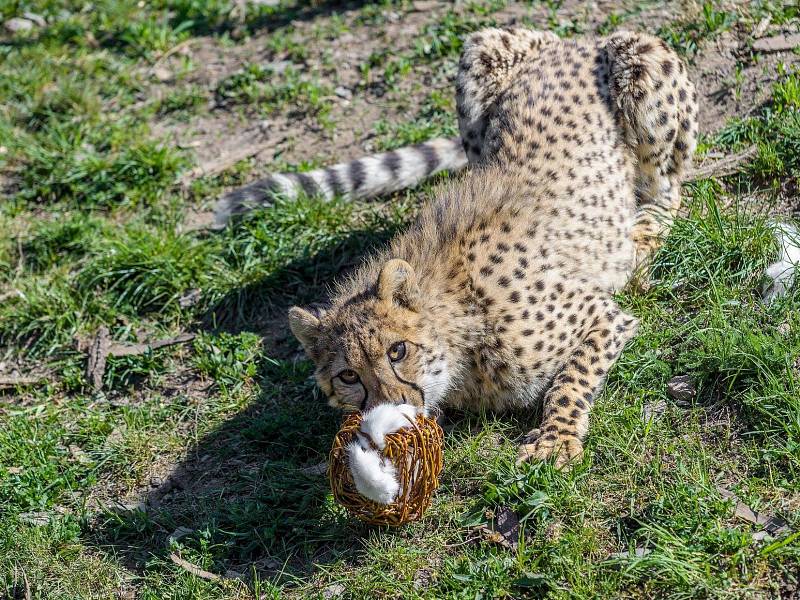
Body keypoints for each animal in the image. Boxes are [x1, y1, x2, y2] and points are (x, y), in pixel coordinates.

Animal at [266, 27, 696, 468]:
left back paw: (640, 238)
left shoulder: (601, 316)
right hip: (478, 54)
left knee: (668, 191)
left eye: (397, 350)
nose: (391, 409)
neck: (457, 323)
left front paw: (556, 438)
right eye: (348, 376)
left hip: (641, 63)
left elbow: (569, 378)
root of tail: (579, 39)